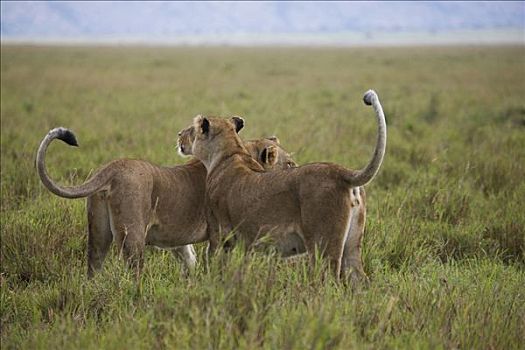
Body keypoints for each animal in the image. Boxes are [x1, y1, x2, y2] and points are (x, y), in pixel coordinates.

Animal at [36, 119, 296, 278]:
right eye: (290, 164)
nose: (297, 169)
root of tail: (112, 167)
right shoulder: (219, 232)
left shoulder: (179, 240)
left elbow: (189, 262)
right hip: (133, 236)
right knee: (132, 275)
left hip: (98, 233)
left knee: (93, 267)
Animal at [184, 89, 384, 282]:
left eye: (192, 130)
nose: (179, 136)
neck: (231, 153)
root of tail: (342, 171)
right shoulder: (245, 243)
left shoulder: (219, 235)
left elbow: (214, 267)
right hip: (352, 245)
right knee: (359, 278)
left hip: (322, 245)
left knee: (328, 281)